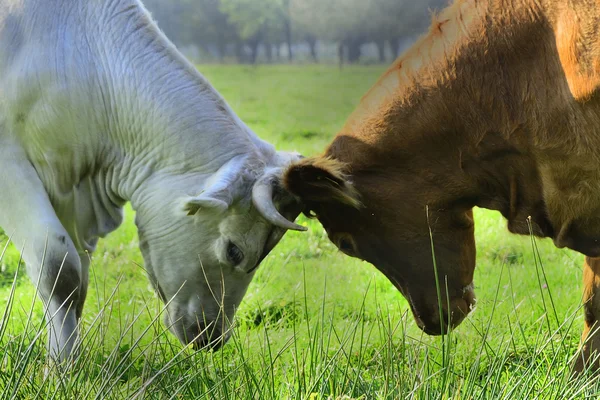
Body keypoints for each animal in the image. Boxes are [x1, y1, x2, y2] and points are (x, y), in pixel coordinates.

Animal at [0, 0, 308, 362]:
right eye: (234, 251)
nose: (214, 336)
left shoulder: (71, 195)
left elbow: (78, 281)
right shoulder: (11, 166)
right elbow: (59, 268)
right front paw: (62, 363)